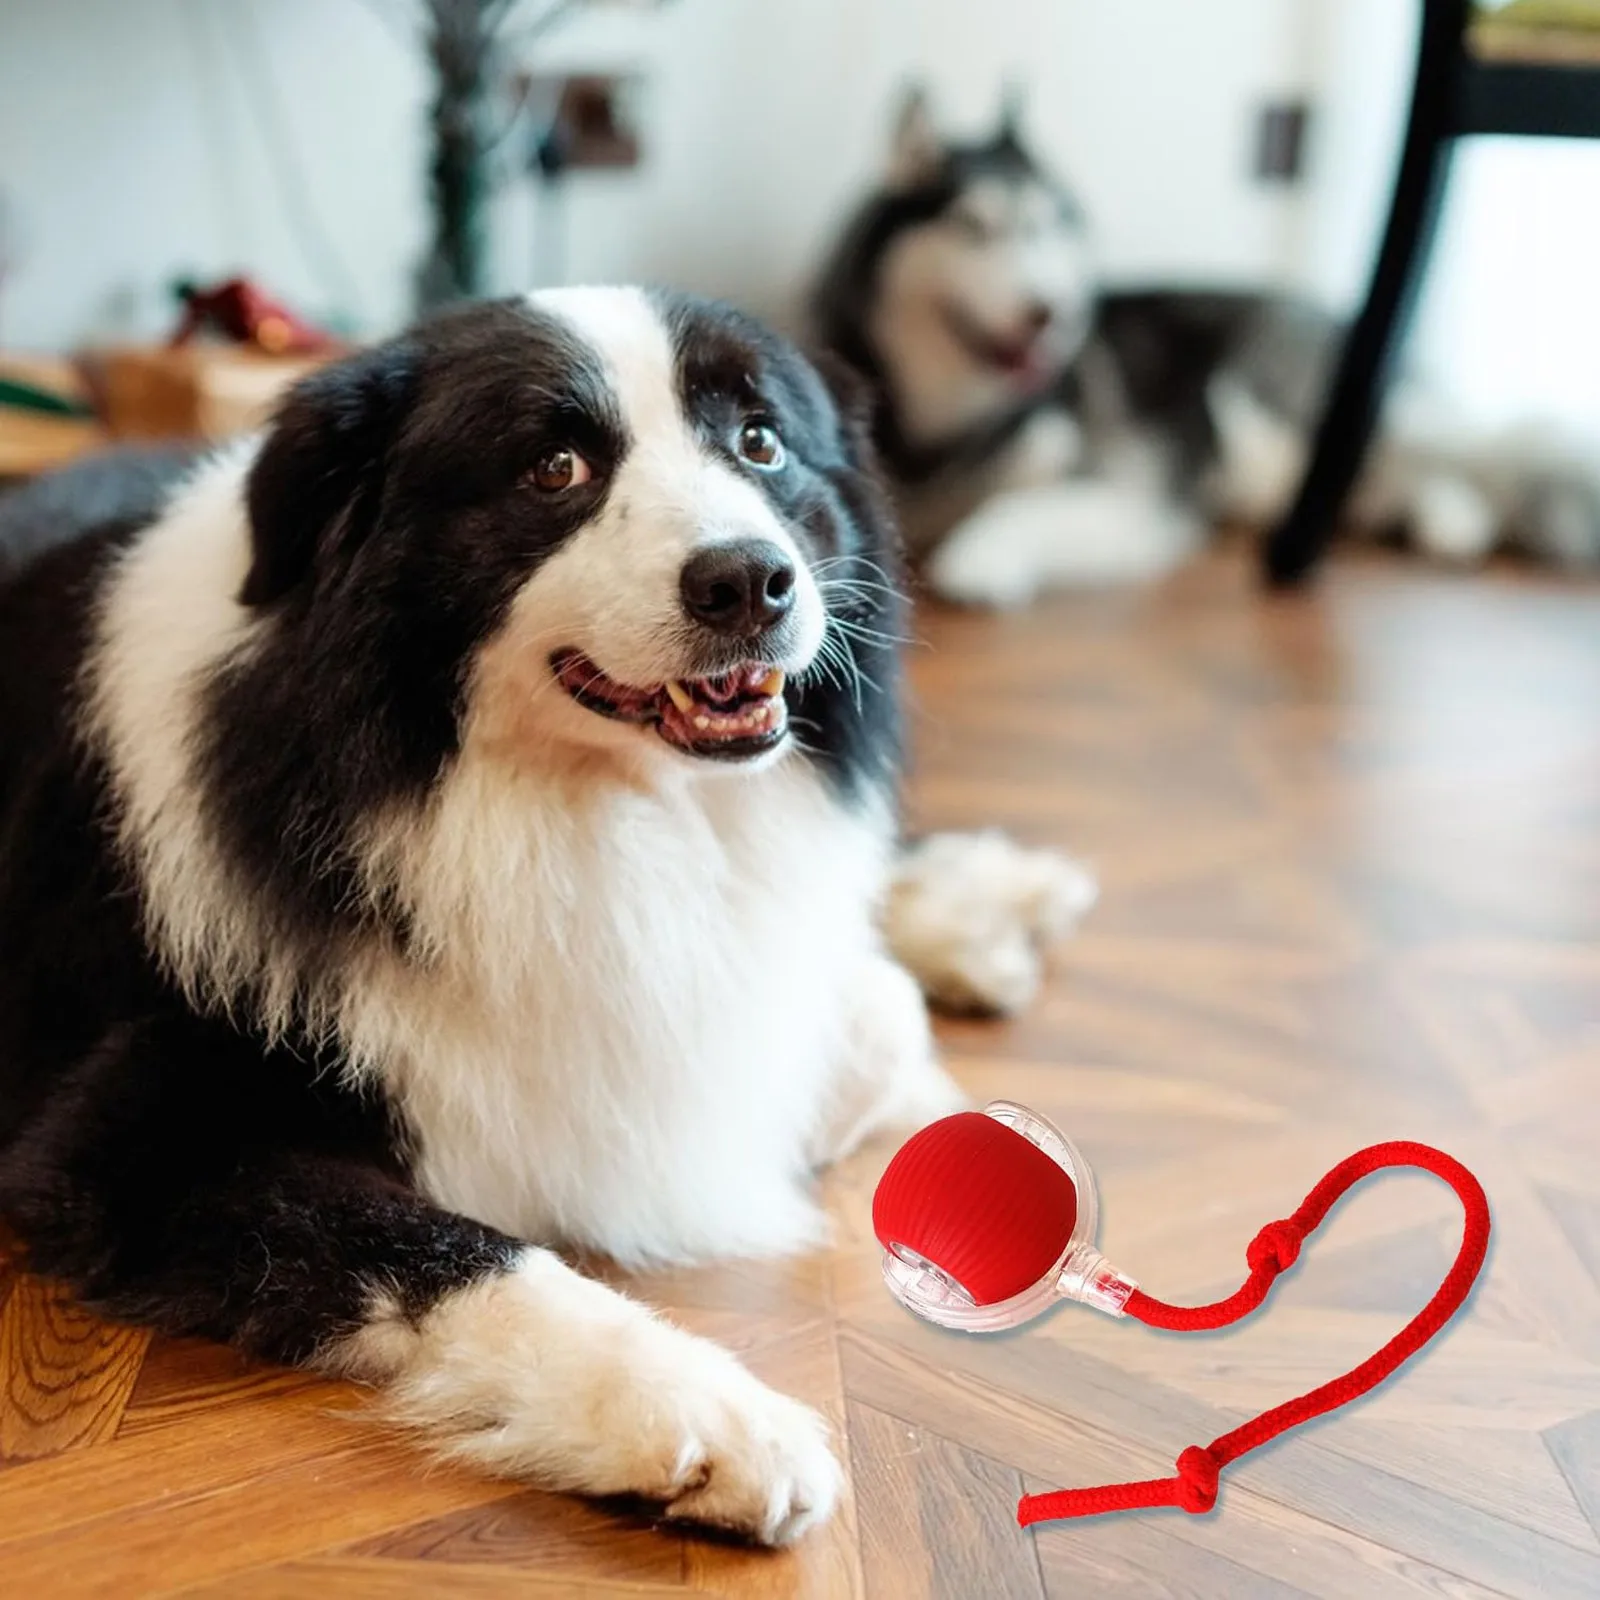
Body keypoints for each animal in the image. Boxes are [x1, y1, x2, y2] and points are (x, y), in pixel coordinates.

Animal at [0, 294, 1088, 1542]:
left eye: (760, 442)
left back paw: (991, 901)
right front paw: (704, 1410)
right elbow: (467, 1248)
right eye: (553, 469)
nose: (750, 580)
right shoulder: (130, 1140)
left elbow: (862, 1020)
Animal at [812, 92, 1600, 604]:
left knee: (1460, 456)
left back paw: (1457, 520)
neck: (951, 428)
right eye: (976, 228)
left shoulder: (1131, 492)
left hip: (1301, 414)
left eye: (1046, 229)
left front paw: (982, 557)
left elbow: (1015, 511)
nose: (1052, 313)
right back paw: (1444, 522)